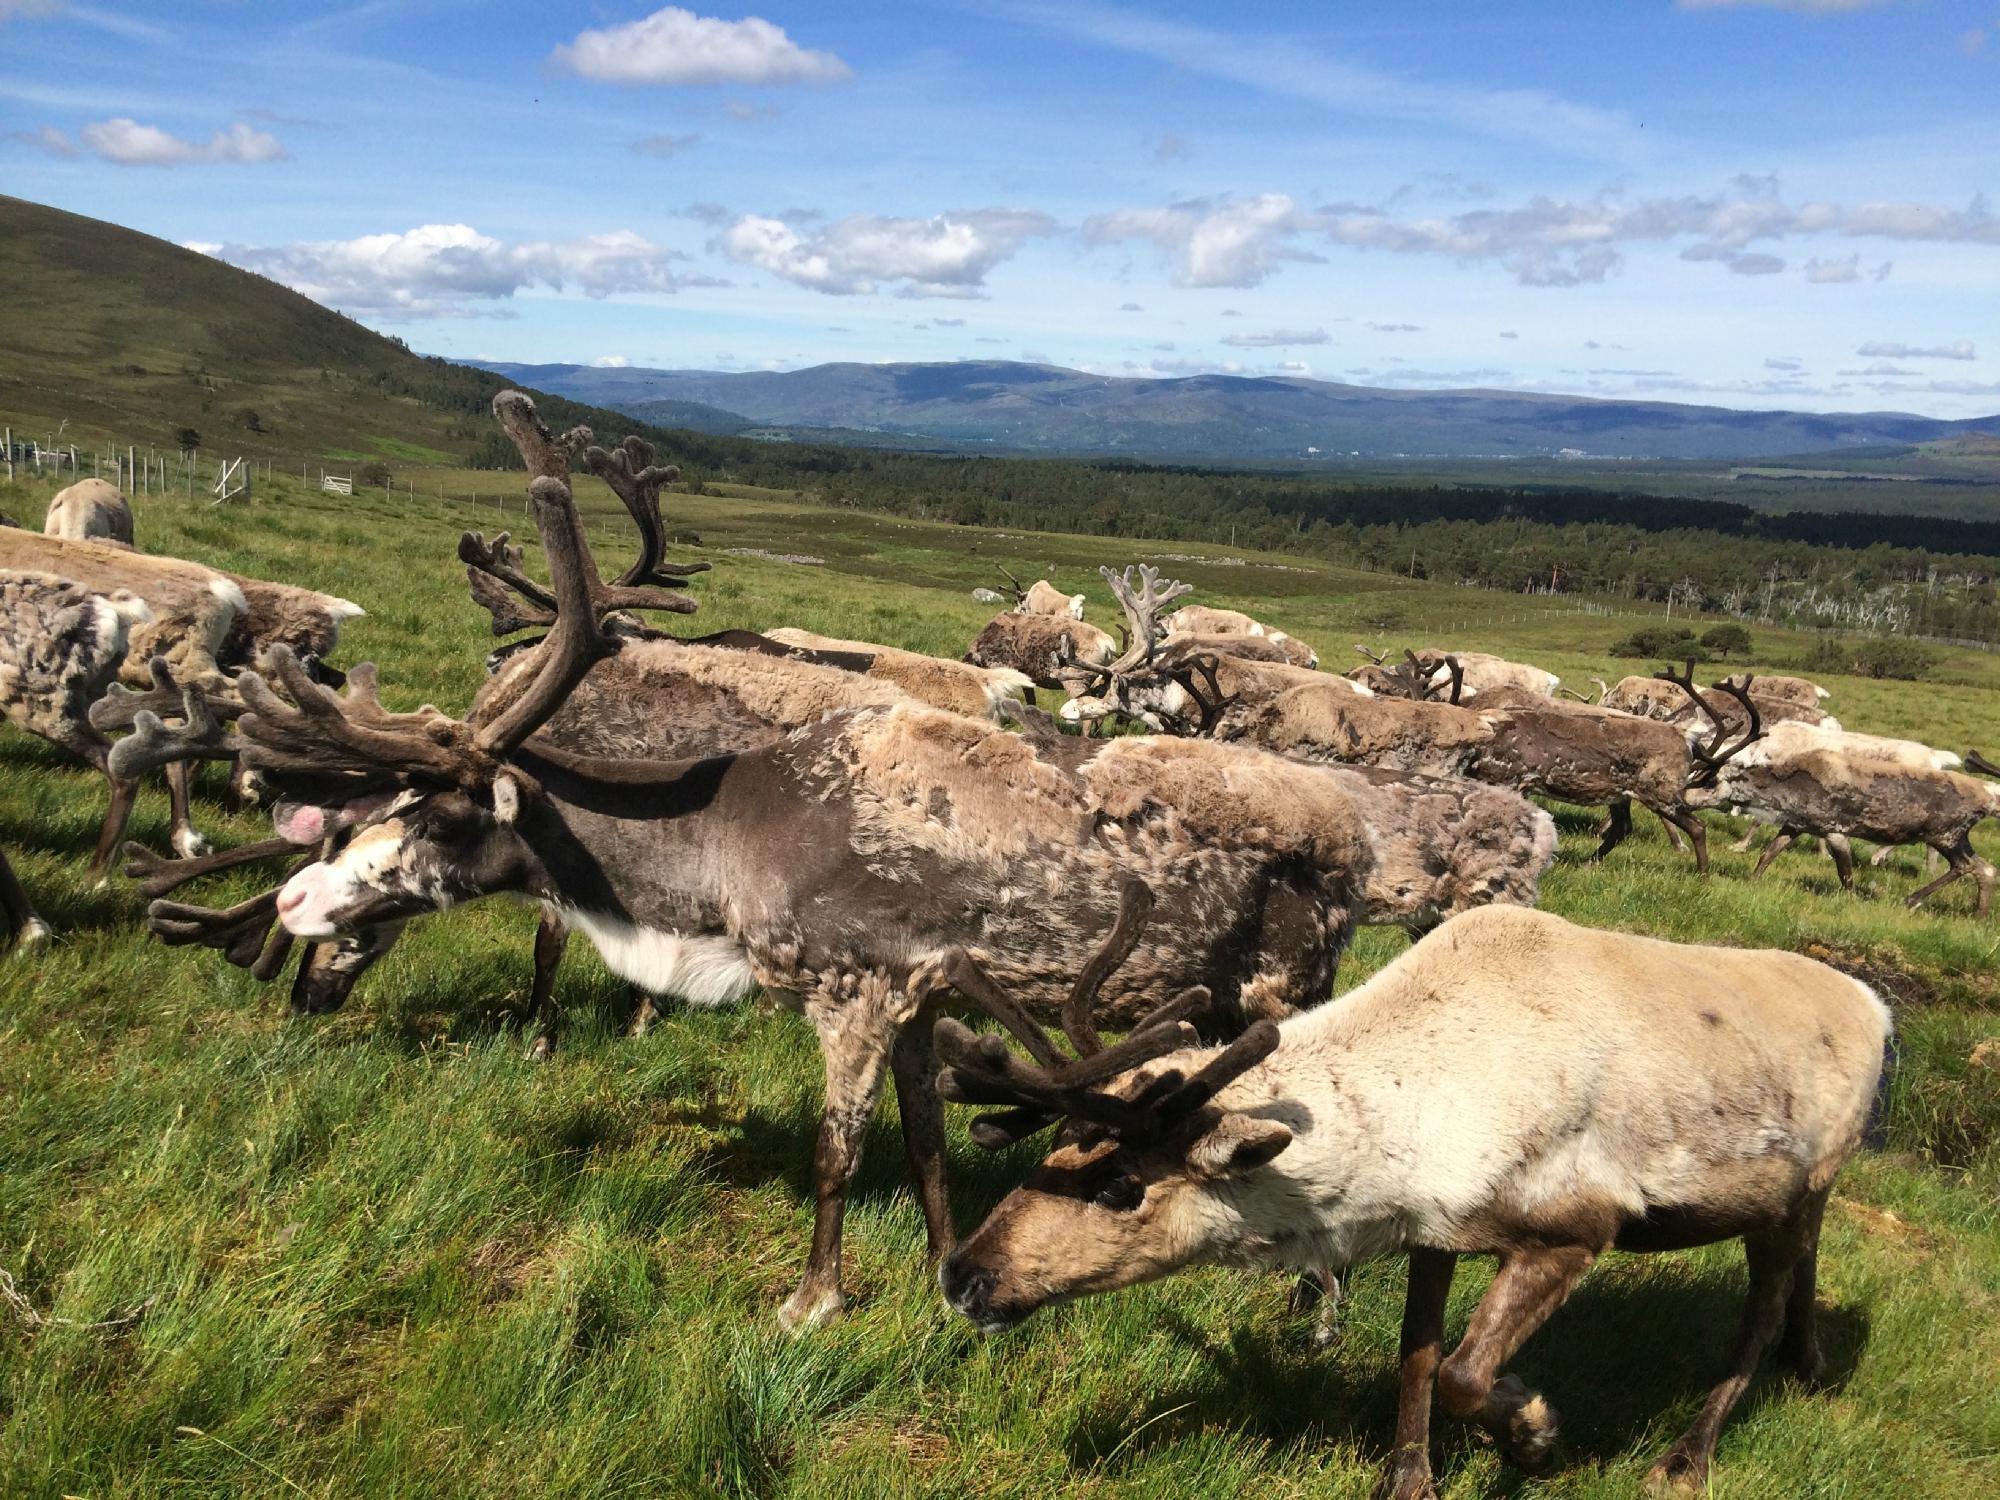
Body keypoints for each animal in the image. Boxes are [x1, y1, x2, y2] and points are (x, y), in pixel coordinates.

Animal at [179, 391, 1377, 1331]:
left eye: (435, 813)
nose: (294, 899)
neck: (714, 861)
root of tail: (1359, 843)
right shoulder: (925, 997)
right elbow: (927, 1139)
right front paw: (939, 1270)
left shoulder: (854, 991)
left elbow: (834, 1153)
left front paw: (813, 1301)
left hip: (1284, 987)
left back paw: (1315, 1310)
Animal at [934, 896, 1891, 1500]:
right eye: (1055, 1147)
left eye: (1121, 1183)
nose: (962, 1275)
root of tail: (1878, 1007)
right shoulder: (1437, 1230)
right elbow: (1418, 1358)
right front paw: (1410, 1480)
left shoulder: (1578, 1226)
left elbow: (1466, 1371)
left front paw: (1534, 1430)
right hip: (1803, 1199)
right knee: (1803, 1275)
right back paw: (1810, 1364)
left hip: (1800, 1185)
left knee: (1757, 1310)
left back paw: (1686, 1459)